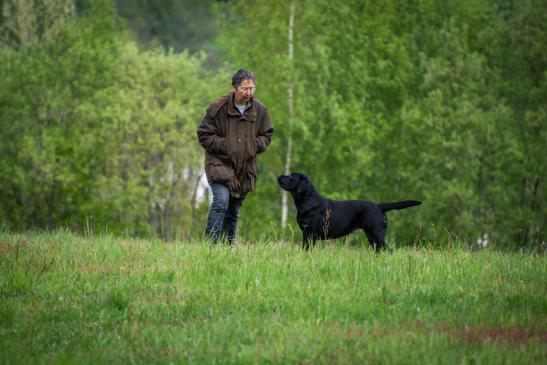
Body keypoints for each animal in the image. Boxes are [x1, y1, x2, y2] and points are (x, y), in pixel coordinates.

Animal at [278, 173, 424, 250]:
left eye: (291, 177)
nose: (280, 176)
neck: (307, 199)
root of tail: (379, 206)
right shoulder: (307, 233)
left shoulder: (310, 233)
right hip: (373, 237)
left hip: (376, 234)